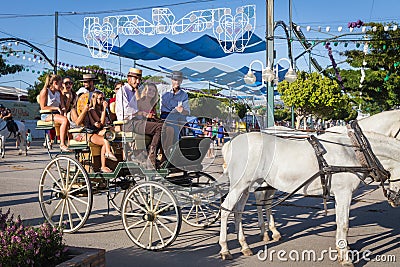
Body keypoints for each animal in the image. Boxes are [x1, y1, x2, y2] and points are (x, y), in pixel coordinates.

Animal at [219, 121, 400, 266]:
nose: (395, 200)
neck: (356, 151)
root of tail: (231, 143)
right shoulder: (344, 193)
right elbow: (344, 224)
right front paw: (346, 257)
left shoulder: (341, 195)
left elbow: (339, 223)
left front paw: (343, 249)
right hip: (240, 185)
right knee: (225, 210)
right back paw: (225, 249)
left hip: (247, 186)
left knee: (239, 211)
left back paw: (245, 245)